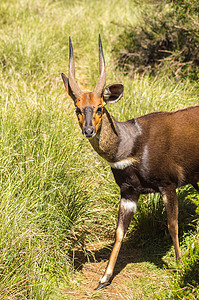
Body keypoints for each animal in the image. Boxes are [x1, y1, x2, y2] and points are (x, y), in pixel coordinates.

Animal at [61, 35, 199, 290]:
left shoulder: (169, 184)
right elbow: (118, 232)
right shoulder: (128, 192)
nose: (88, 130)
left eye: (100, 107)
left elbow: (172, 225)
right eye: (77, 108)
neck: (132, 145)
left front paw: (180, 266)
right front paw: (104, 279)